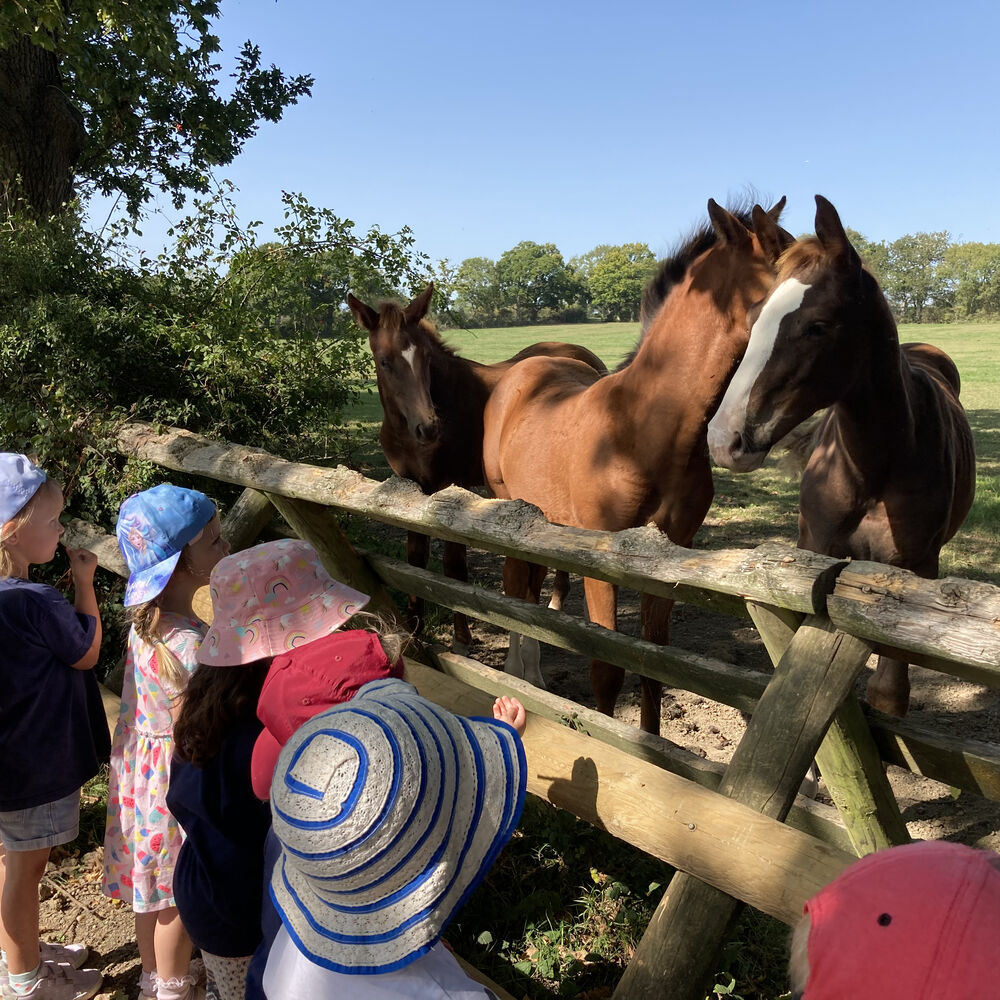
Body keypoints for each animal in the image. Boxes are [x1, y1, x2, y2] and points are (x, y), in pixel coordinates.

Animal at [347, 283, 608, 652]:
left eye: (426, 359)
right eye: (385, 361)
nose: (428, 427)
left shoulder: (452, 487)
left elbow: (454, 566)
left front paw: (461, 638)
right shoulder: (410, 487)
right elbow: (415, 559)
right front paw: (414, 630)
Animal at [482, 198, 793, 733]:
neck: (643, 430)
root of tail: (524, 369)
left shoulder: (668, 558)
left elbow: (653, 667)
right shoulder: (602, 558)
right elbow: (606, 668)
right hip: (508, 511)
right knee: (513, 590)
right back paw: (518, 676)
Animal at [707, 194, 976, 717]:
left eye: (817, 326)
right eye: (754, 318)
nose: (723, 439)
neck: (873, 469)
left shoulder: (911, 575)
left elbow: (888, 691)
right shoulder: (811, 556)